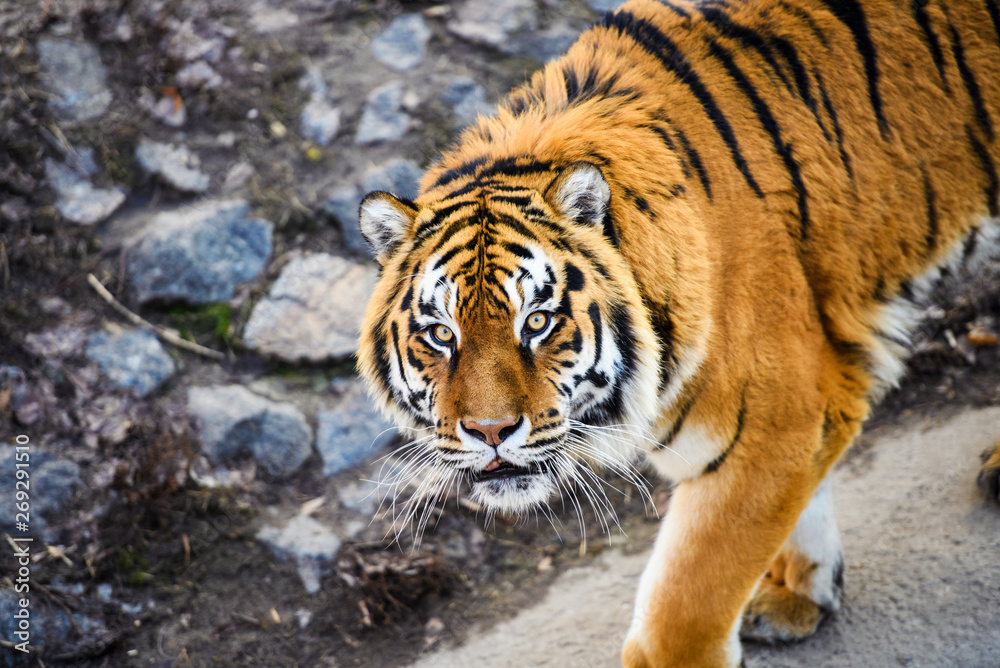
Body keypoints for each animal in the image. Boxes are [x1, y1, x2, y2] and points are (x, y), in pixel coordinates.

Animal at [355, 0, 1000, 665]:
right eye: (441, 334)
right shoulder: (797, 415)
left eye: (537, 321)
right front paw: (802, 594)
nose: (489, 432)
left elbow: (686, 604)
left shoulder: (778, 417)